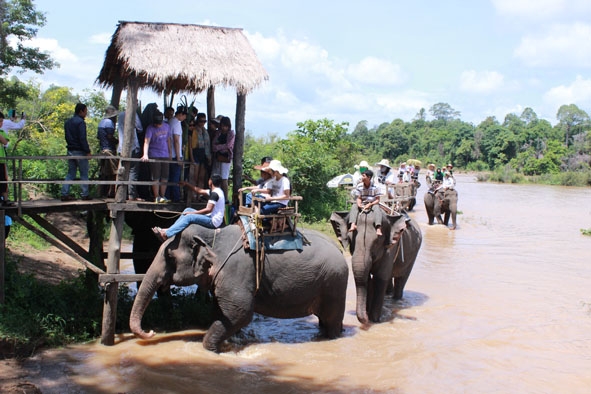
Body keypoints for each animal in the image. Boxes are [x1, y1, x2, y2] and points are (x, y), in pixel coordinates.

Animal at [129, 223, 350, 352]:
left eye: (169, 256)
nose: (151, 332)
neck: (212, 236)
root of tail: (340, 249)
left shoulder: (235, 271)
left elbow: (240, 312)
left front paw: (210, 348)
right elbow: (222, 312)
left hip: (335, 283)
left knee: (332, 322)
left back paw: (333, 337)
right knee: (324, 321)